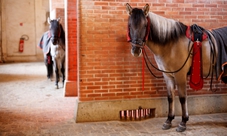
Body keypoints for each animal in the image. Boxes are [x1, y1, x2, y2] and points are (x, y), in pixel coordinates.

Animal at [126, 3, 227, 132]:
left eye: (144, 26)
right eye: (130, 25)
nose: (136, 50)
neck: (170, 43)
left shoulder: (180, 75)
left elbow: (182, 98)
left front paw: (183, 122)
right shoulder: (168, 75)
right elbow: (170, 97)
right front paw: (168, 120)